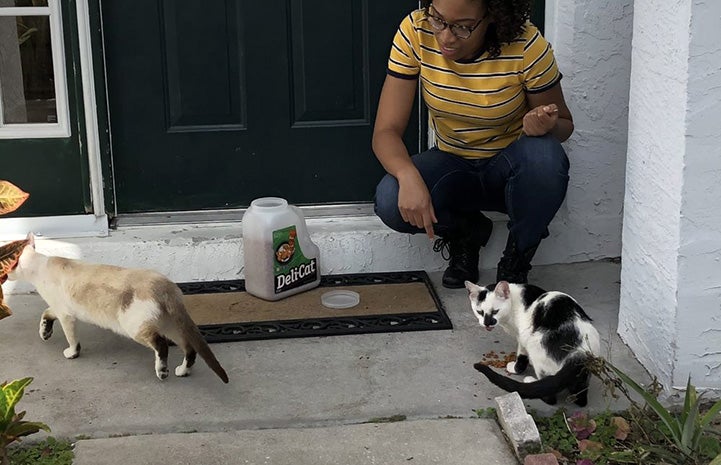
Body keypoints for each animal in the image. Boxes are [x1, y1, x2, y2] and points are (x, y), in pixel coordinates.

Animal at [7, 234, 228, 382]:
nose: (6, 276)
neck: (39, 268)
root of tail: (164, 285)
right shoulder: (58, 308)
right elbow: (45, 315)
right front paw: (45, 334)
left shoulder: (66, 315)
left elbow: (72, 340)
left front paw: (71, 353)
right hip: (169, 326)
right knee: (189, 348)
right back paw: (182, 371)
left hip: (134, 328)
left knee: (161, 345)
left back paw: (162, 372)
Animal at [464, 278, 600, 404]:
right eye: (480, 312)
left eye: (495, 311)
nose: (487, 323)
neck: (514, 301)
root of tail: (579, 352)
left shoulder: (522, 336)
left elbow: (521, 357)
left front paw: (515, 368)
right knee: (580, 398)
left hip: (534, 344)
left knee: (550, 397)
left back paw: (531, 380)